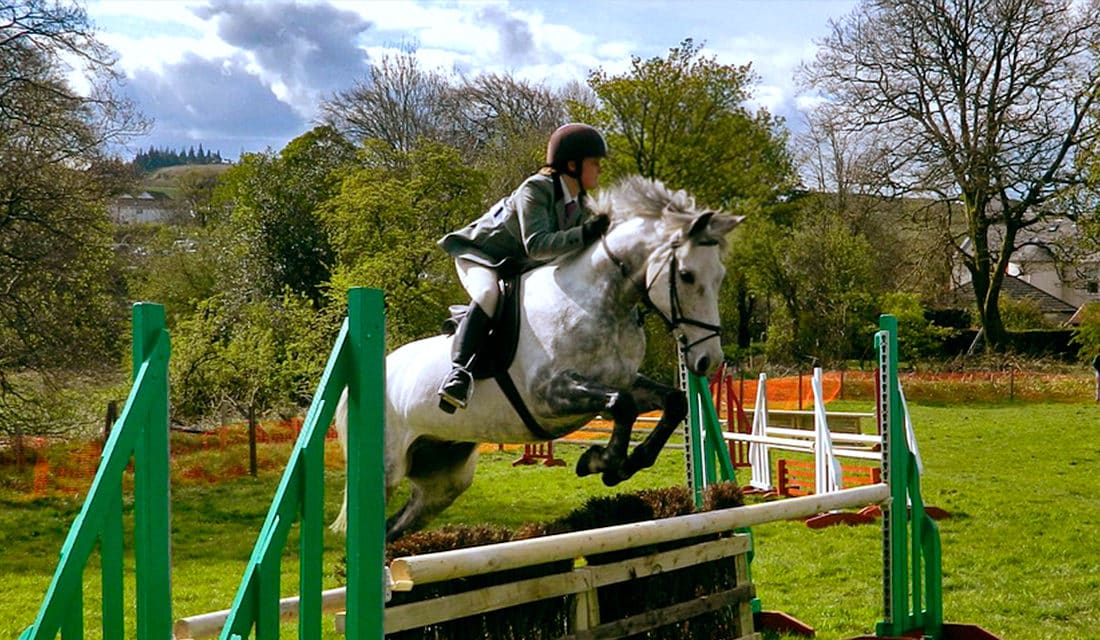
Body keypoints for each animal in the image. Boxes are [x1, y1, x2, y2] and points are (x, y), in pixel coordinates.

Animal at [330, 177, 743, 541]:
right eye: (686, 275)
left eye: (721, 275)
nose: (708, 360)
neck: (599, 300)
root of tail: (351, 388)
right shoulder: (548, 394)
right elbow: (621, 405)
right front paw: (602, 463)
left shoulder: (620, 379)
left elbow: (672, 402)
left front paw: (628, 462)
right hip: (385, 470)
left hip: (445, 476)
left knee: (396, 526)